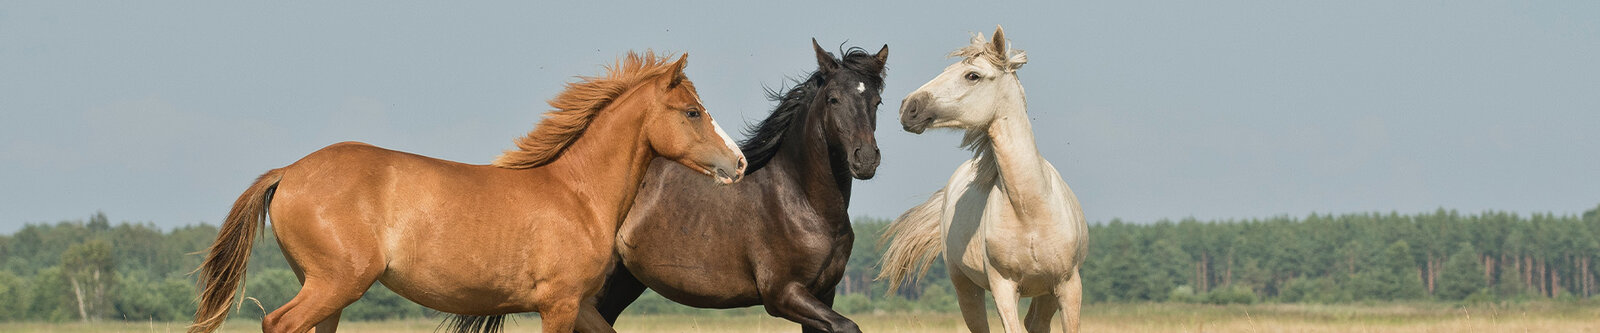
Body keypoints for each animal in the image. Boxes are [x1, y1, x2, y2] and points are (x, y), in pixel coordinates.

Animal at [190, 52, 752, 333]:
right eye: (692, 112)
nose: (740, 163)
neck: (577, 194)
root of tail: (289, 171)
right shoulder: (559, 304)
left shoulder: (582, 305)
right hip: (335, 282)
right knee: (279, 323)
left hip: (328, 291)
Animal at [595, 40, 889, 331]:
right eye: (833, 99)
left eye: (877, 101)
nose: (865, 159)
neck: (803, 202)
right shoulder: (783, 294)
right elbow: (847, 326)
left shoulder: (824, 294)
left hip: (625, 281)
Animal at [876, 26, 1088, 333]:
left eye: (972, 75)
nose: (908, 107)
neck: (1030, 211)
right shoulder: (1003, 287)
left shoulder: (1068, 285)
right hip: (966, 288)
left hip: (1046, 293)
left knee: (1036, 323)